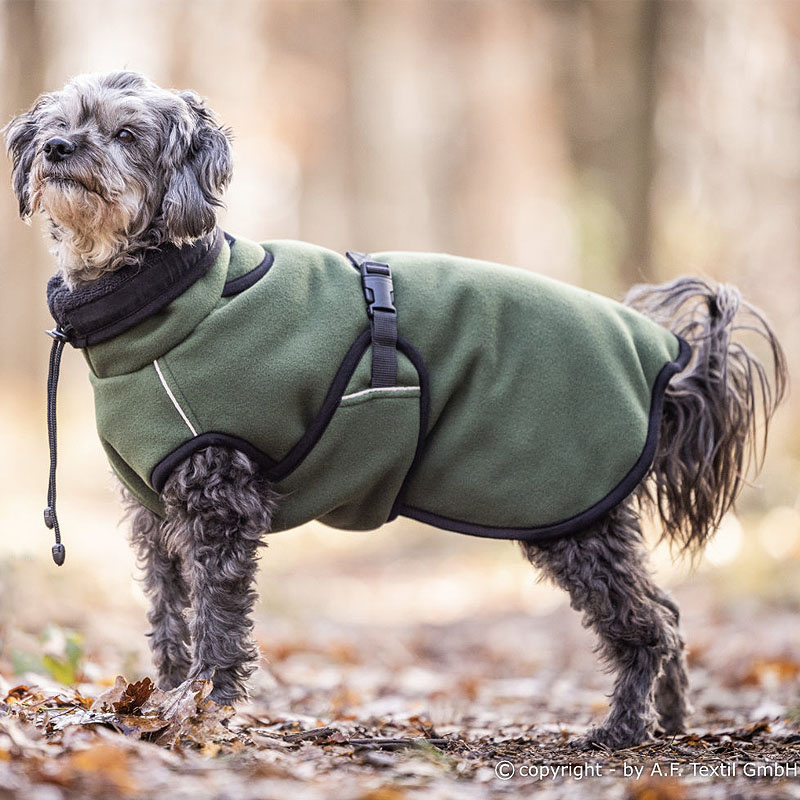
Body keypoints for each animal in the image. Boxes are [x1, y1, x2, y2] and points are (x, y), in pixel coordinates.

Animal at [1, 70, 788, 752]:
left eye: (127, 133)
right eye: (62, 121)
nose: (58, 149)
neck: (167, 299)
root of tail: (664, 354)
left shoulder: (218, 503)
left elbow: (217, 622)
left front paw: (204, 708)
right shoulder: (156, 515)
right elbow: (169, 618)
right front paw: (164, 697)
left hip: (573, 518)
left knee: (647, 624)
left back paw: (624, 729)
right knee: (671, 617)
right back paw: (673, 721)